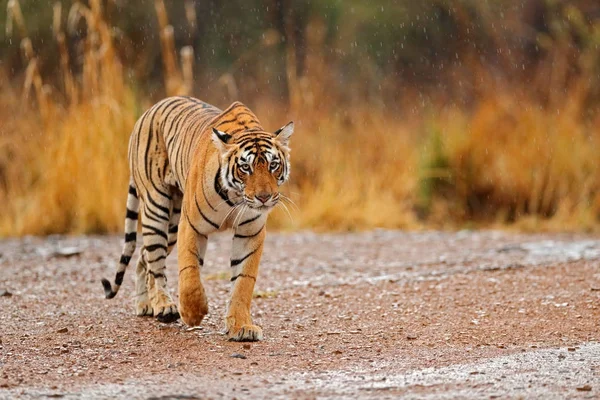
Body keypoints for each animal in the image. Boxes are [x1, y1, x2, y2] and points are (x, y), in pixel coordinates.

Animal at [101, 96, 292, 340]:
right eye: (245, 167)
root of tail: (148, 111)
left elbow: (243, 282)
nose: (264, 198)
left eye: (273, 165)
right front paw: (193, 313)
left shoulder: (250, 232)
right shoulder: (191, 225)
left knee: (143, 255)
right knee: (155, 261)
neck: (235, 197)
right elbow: (189, 273)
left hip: (171, 226)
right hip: (157, 208)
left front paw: (241, 326)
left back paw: (144, 304)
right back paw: (164, 307)